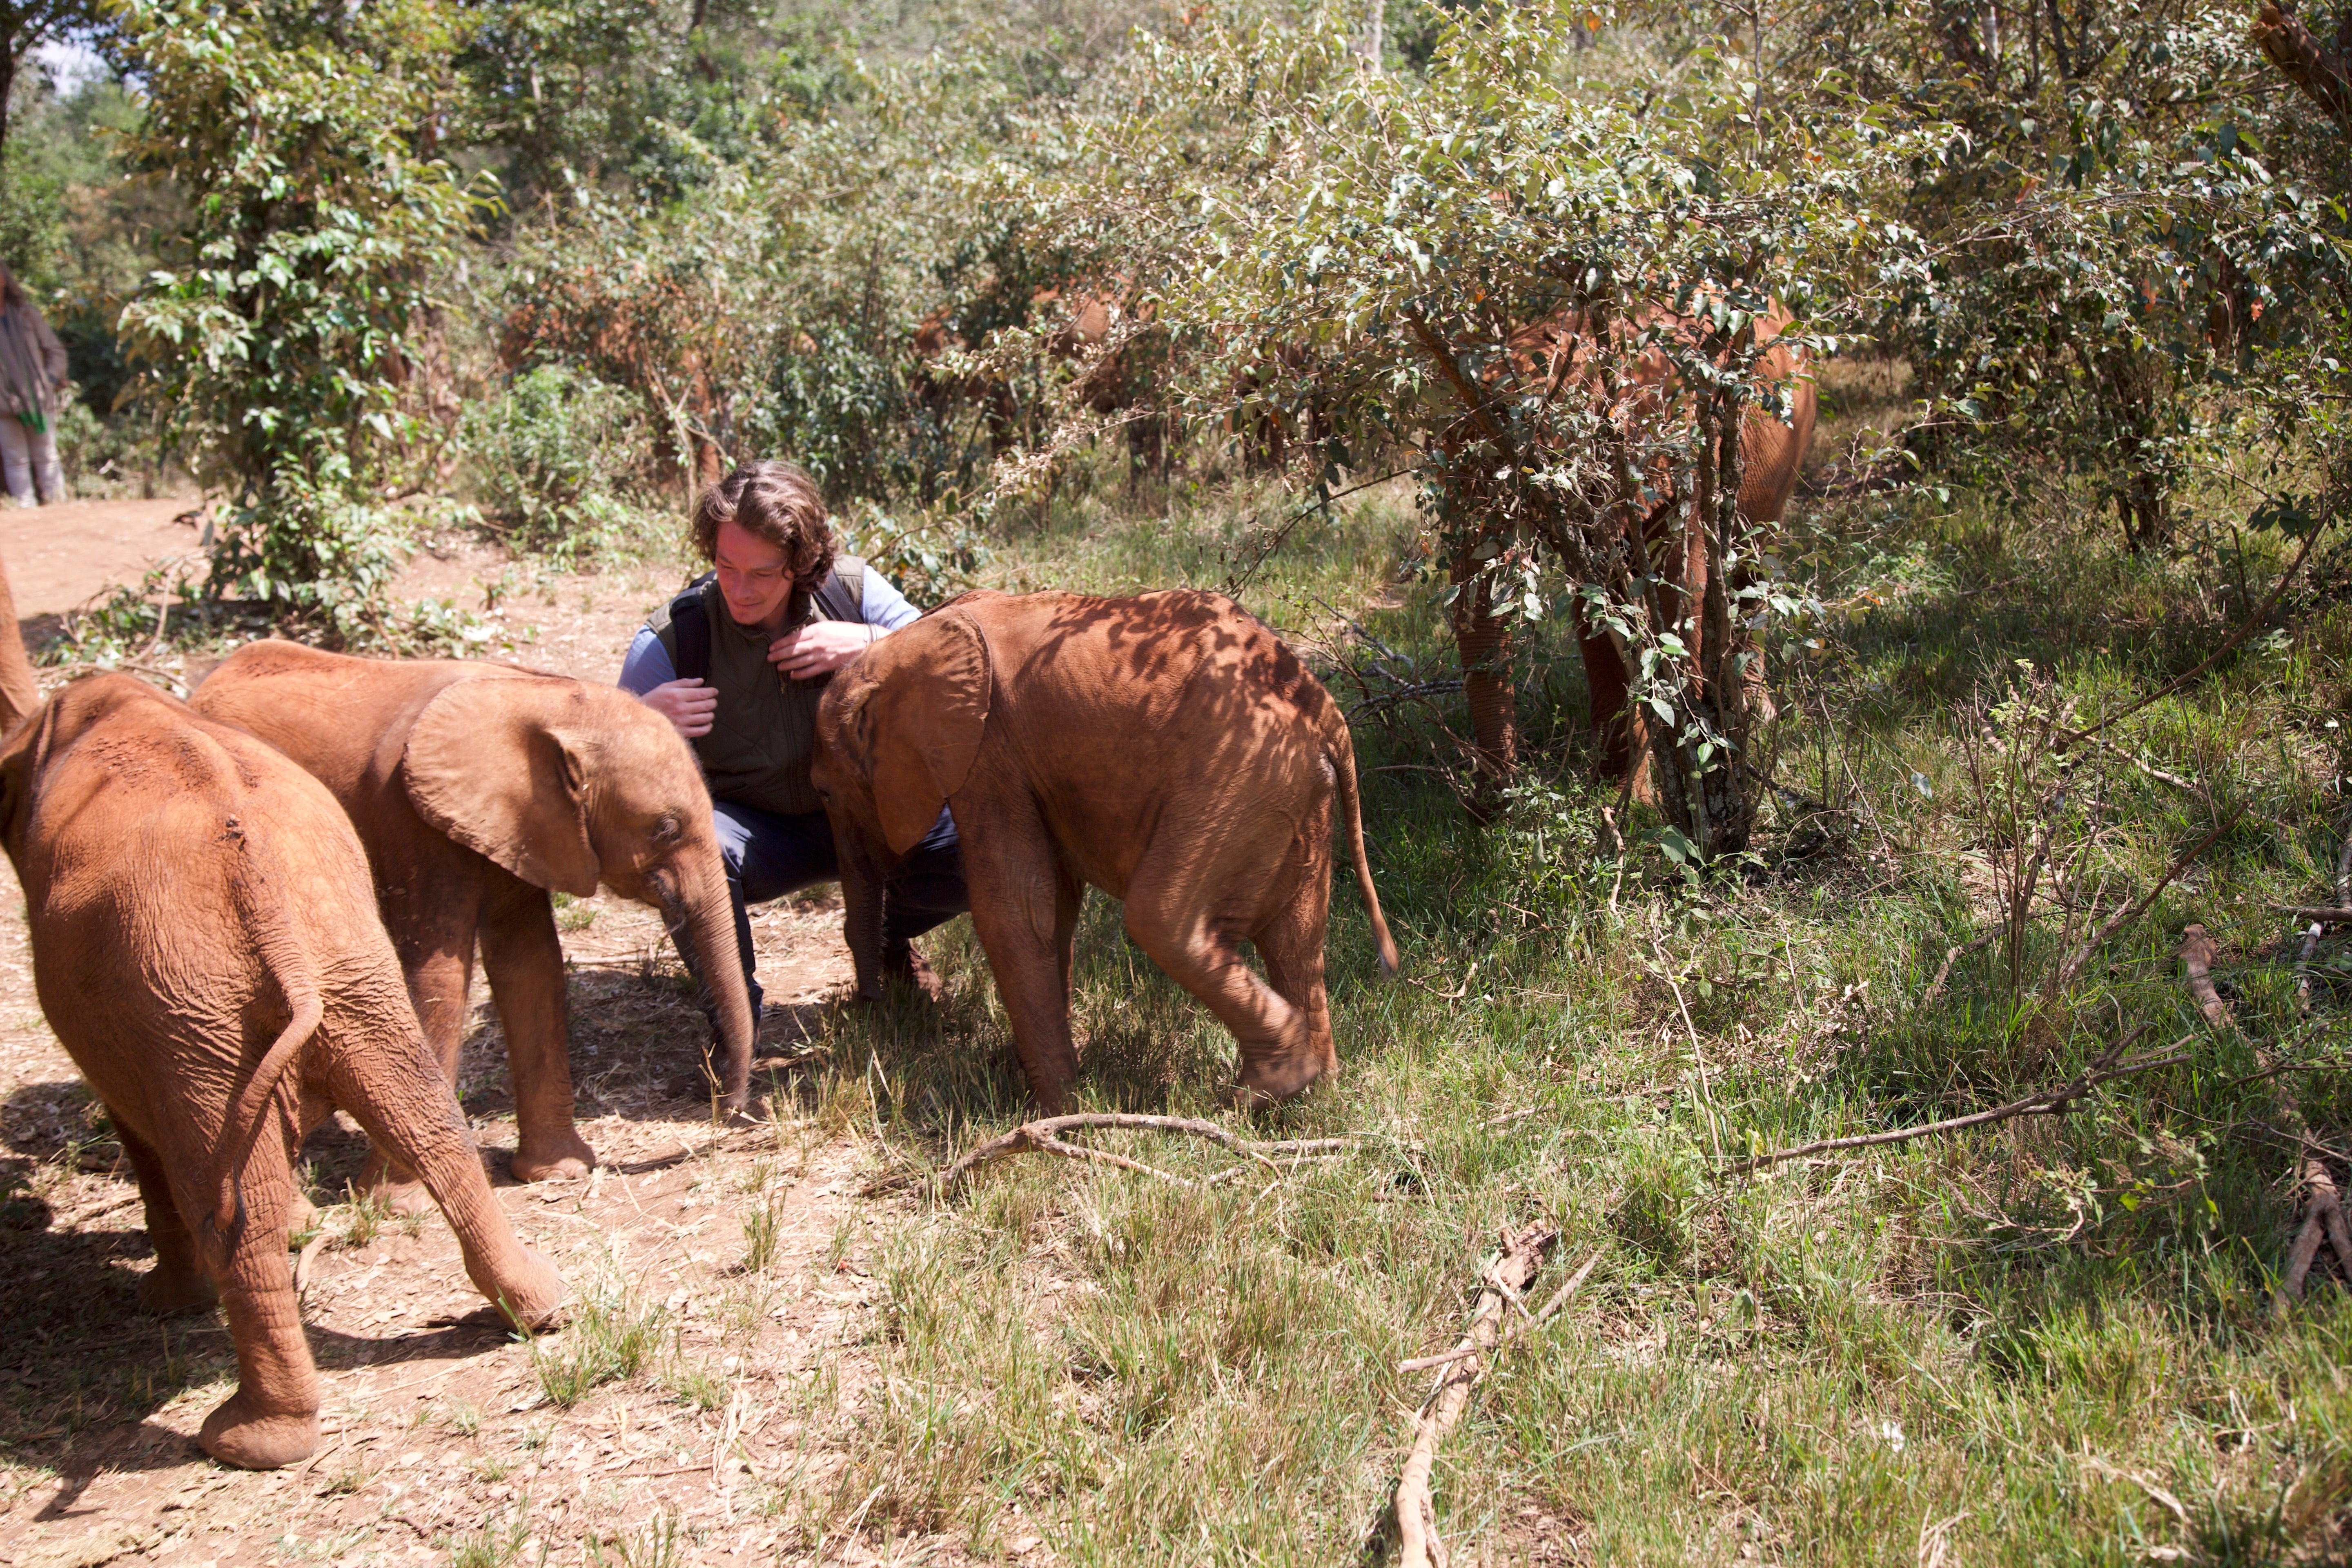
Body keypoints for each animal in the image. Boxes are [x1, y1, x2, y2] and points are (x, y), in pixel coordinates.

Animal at [0, 677, 564, 1476]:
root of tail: (260, 893)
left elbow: (135, 1129)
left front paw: (166, 1303)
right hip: (339, 964)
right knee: (429, 1120)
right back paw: (542, 1307)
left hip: (191, 1012)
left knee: (234, 1208)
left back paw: (247, 1441)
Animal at [198, 644, 762, 1194]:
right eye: (665, 829)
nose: (726, 1108)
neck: (544, 701)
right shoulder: (409, 818)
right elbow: (438, 974)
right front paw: (398, 1201)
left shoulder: (527, 827)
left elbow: (531, 961)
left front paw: (559, 1173)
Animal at [813, 583, 1392, 1109]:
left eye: (824, 793)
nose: (869, 1009)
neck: (901, 646)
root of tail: (1324, 710)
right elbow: (1054, 908)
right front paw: (1039, 1081)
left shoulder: (985, 758)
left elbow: (1016, 908)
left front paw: (1055, 1109)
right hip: (1292, 790)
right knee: (1297, 939)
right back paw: (1316, 1096)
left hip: (1239, 778)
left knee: (1161, 920)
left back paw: (1272, 1089)